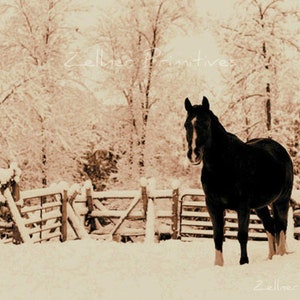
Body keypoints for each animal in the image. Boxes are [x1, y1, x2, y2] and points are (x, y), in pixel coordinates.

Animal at [184, 96, 294, 264]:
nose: (193, 155)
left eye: (205, 124)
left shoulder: (243, 207)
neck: (225, 165)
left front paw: (244, 262)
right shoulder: (213, 205)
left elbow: (242, 236)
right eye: (186, 125)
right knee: (270, 225)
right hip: (261, 206)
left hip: (282, 200)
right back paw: (271, 257)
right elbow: (217, 236)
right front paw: (218, 265)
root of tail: (280, 150)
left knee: (281, 227)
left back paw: (280, 256)